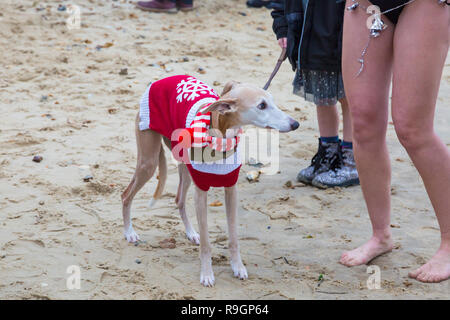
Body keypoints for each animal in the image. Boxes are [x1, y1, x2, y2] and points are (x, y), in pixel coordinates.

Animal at [121, 75, 300, 288]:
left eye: (271, 100)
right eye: (262, 105)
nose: (295, 124)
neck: (219, 134)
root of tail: (158, 82)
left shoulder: (231, 189)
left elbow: (233, 237)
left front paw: (238, 267)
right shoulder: (201, 191)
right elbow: (207, 243)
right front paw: (206, 274)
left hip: (184, 166)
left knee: (179, 199)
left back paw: (191, 232)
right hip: (148, 162)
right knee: (126, 195)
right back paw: (129, 232)